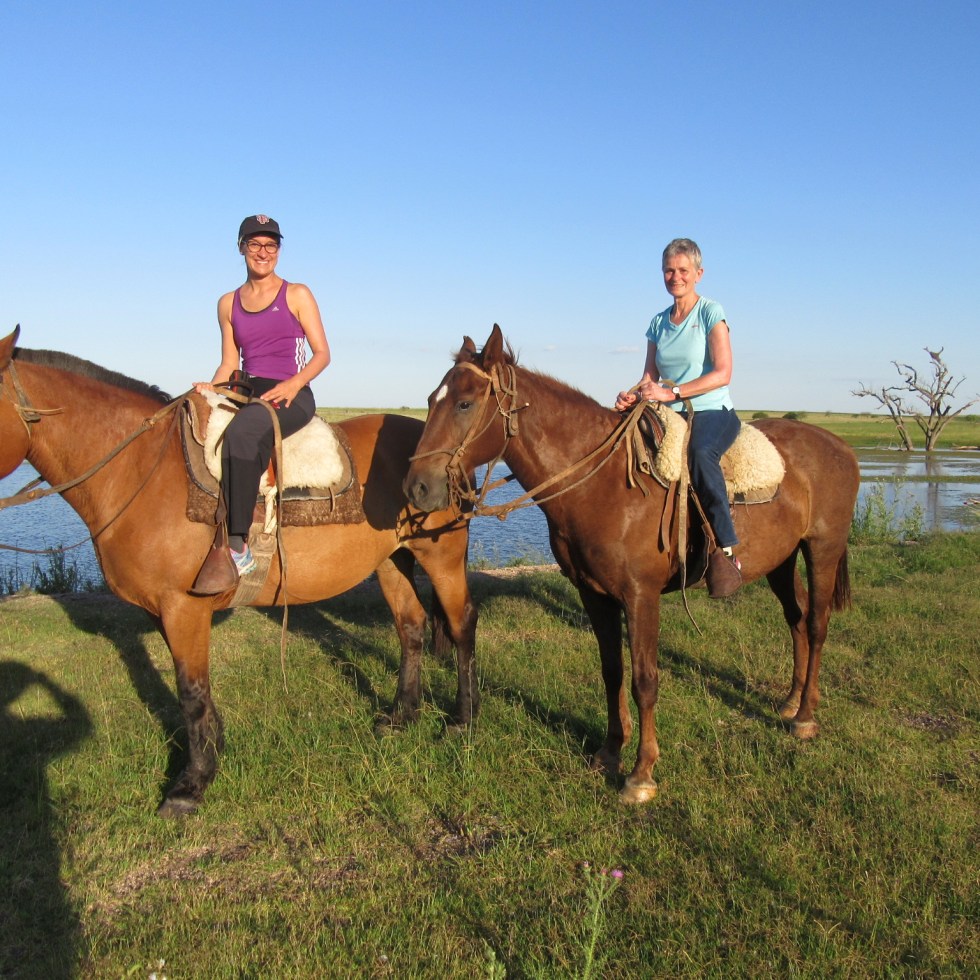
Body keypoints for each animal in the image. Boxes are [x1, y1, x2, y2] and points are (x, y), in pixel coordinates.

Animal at [0, 326, 478, 816]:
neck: (139, 469)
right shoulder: (162, 611)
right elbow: (197, 693)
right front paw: (214, 748)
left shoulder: (183, 608)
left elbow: (191, 692)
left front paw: (190, 784)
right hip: (390, 561)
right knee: (411, 627)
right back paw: (402, 716)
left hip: (441, 557)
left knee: (461, 623)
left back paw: (464, 719)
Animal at [404, 324, 859, 804]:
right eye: (432, 399)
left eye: (465, 403)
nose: (416, 487)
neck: (602, 487)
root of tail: (840, 446)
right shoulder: (594, 594)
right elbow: (612, 671)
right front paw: (609, 750)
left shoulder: (641, 596)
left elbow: (645, 680)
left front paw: (641, 773)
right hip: (782, 561)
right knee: (797, 617)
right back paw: (790, 702)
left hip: (823, 549)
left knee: (817, 624)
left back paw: (805, 717)